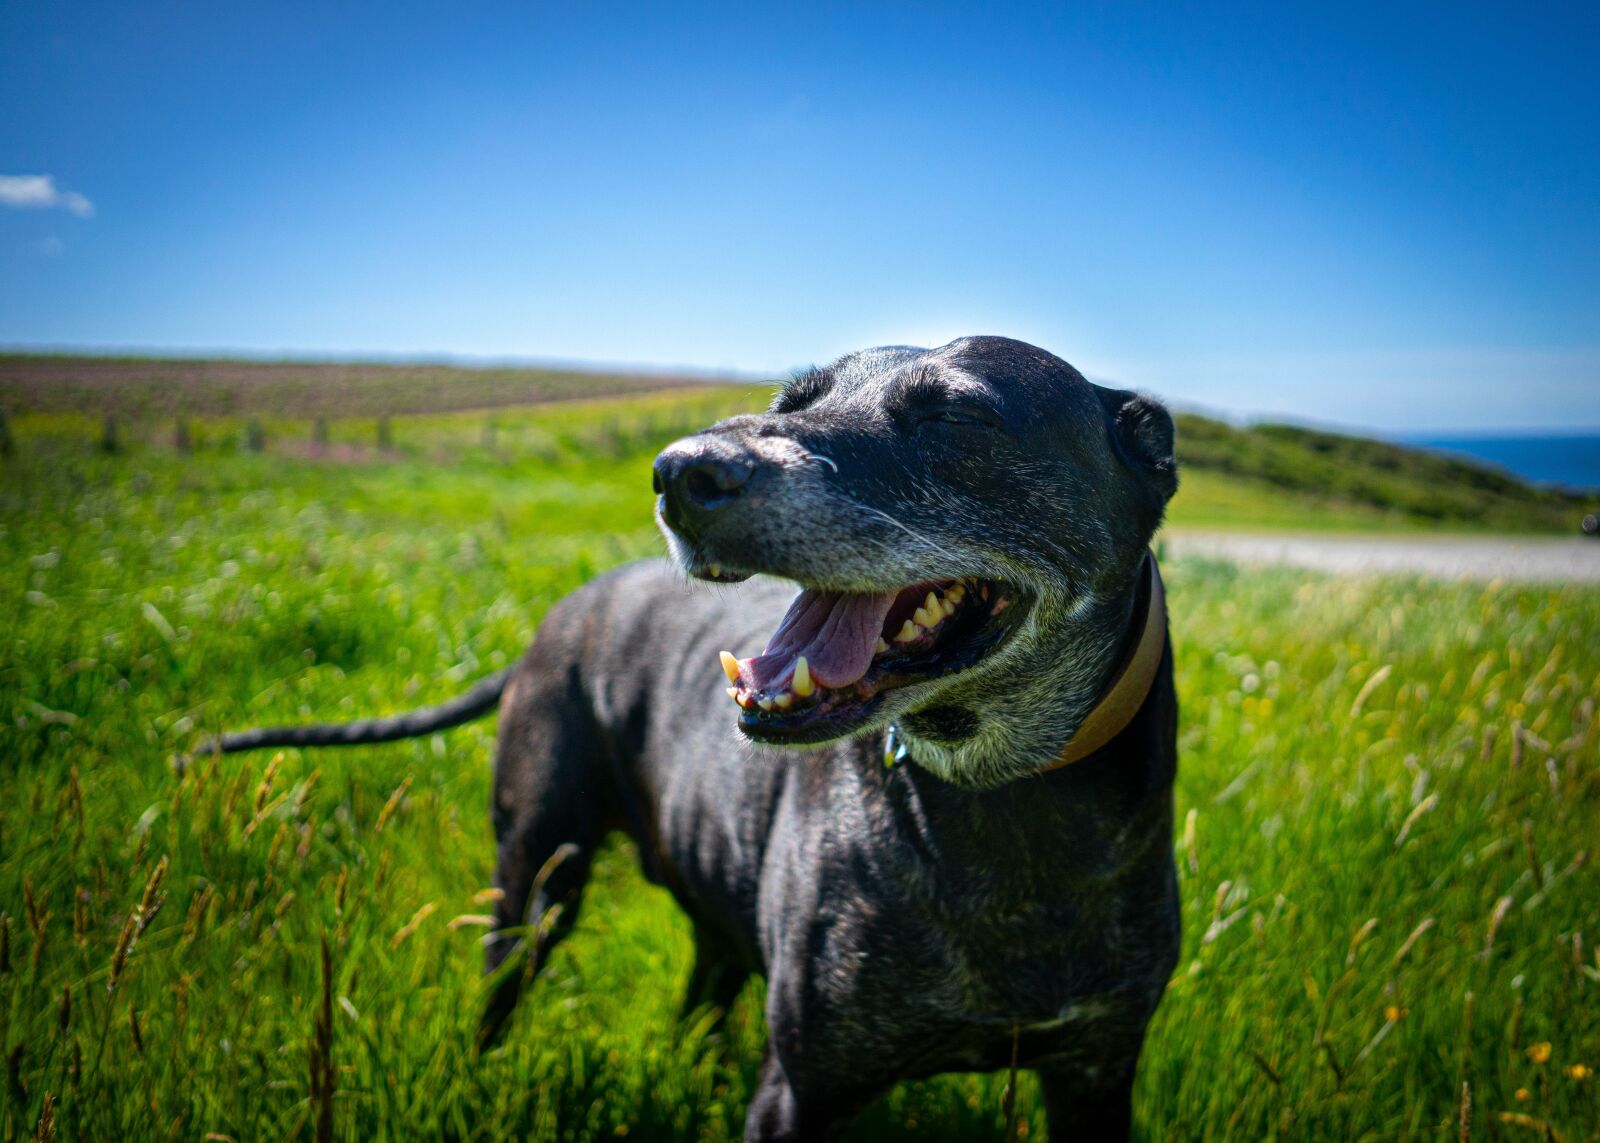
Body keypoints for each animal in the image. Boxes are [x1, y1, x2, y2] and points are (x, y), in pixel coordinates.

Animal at [209, 334, 1177, 1133]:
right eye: (794, 399)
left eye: (958, 415)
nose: (680, 472)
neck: (1011, 812)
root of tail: (557, 616)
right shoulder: (801, 1087)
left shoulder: (1098, 1077)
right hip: (535, 877)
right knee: (502, 985)